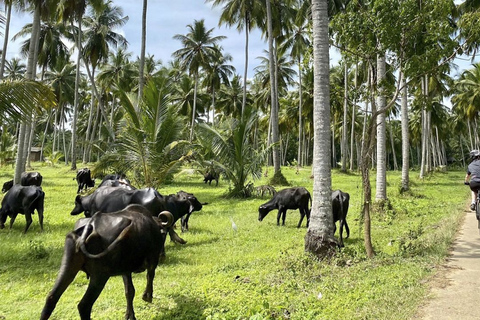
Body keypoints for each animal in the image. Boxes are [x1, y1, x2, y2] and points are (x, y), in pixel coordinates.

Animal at [40, 205, 173, 320]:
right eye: (163, 234)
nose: (162, 255)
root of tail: (90, 226)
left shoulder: (125, 270)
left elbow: (129, 291)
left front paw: (130, 315)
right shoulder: (152, 259)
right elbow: (150, 276)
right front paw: (147, 296)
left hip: (68, 266)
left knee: (51, 298)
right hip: (99, 276)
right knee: (84, 305)